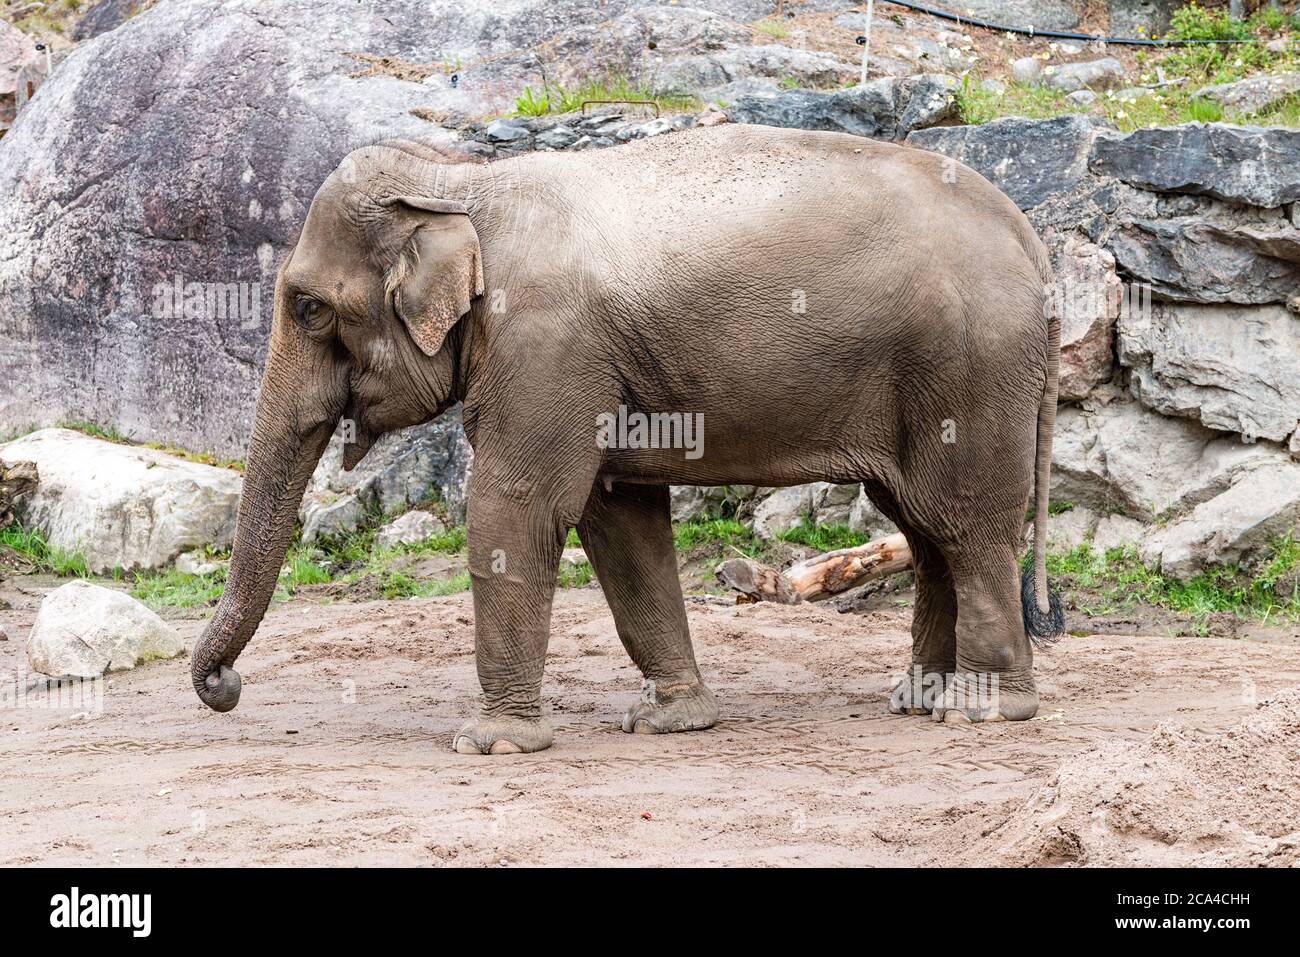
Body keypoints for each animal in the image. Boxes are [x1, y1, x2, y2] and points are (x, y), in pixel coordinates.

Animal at [192, 123, 1066, 754]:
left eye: (308, 307)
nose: (223, 687)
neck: (461, 182)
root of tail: (1034, 242)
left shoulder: (545, 343)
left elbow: (517, 505)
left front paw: (491, 743)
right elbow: (619, 521)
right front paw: (671, 722)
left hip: (970, 368)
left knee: (965, 523)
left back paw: (982, 711)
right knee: (924, 526)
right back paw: (918, 700)